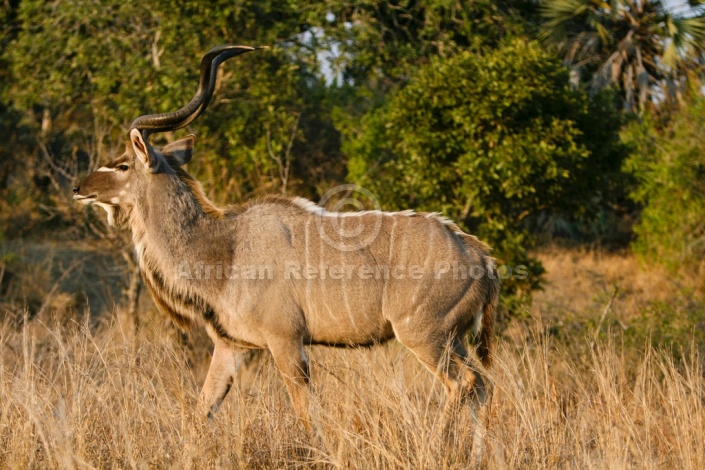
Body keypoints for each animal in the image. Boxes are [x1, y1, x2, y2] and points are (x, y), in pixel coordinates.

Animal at [71, 46, 500, 428]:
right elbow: (202, 411)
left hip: (425, 336)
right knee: (484, 386)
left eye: (122, 164)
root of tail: (481, 257)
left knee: (463, 383)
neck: (224, 249)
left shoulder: (287, 343)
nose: (78, 187)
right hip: (452, 339)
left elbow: (306, 415)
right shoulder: (231, 347)